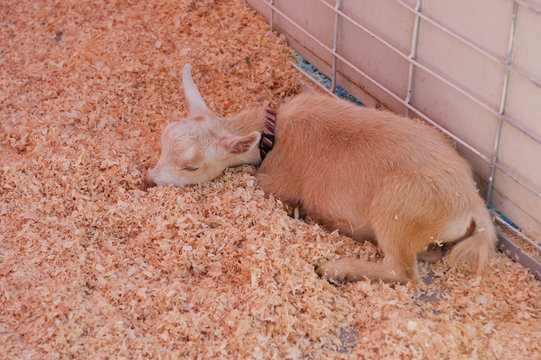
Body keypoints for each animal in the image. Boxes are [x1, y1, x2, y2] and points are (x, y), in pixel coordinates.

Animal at [142, 64, 494, 284]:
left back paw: (335, 268)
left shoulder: (275, 182)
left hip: (398, 207)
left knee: (403, 271)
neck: (275, 134)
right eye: (161, 142)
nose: (149, 180)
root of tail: (474, 208)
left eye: (192, 166)